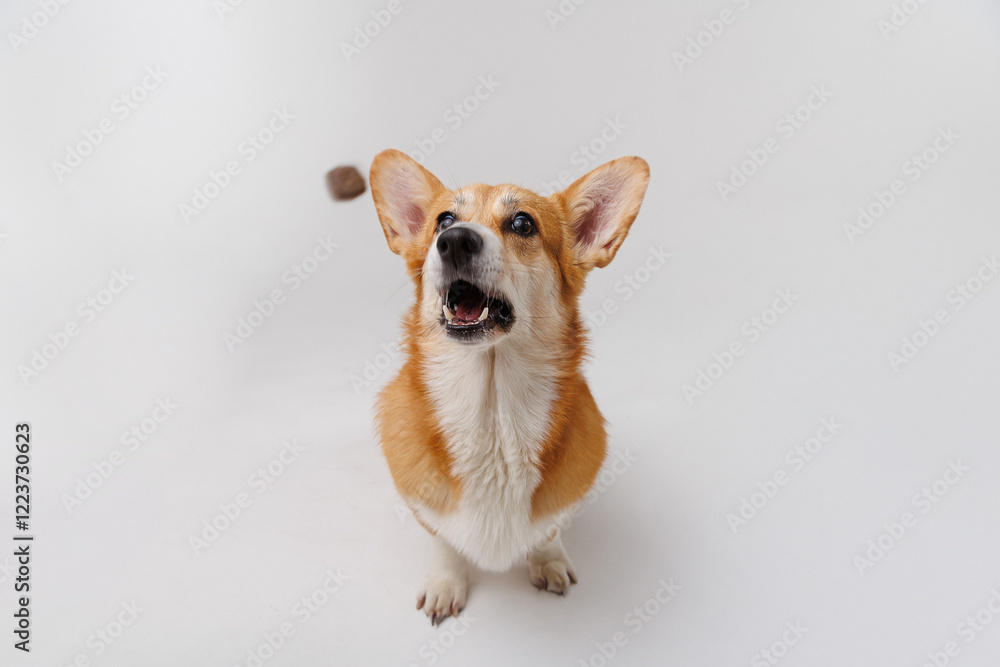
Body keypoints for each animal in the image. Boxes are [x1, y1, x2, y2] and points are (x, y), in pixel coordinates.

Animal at [369, 149, 649, 624]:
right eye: (444, 220)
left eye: (522, 223)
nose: (455, 240)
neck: (494, 415)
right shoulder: (426, 507)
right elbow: (444, 541)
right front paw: (445, 584)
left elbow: (548, 532)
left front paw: (549, 562)